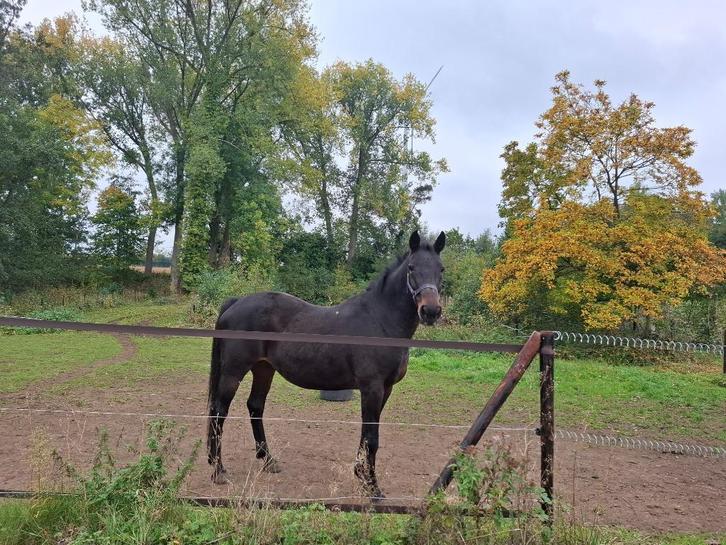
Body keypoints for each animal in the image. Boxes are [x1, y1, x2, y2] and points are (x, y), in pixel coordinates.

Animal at [206, 230, 446, 498]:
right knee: (219, 411)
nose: (431, 311)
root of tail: (235, 302)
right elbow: (372, 437)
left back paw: (268, 461)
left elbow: (366, 435)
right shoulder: (372, 387)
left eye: (441, 269)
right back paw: (218, 471)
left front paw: (360, 474)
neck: (380, 321)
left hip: (264, 369)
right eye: (412, 268)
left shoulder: (386, 389)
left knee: (255, 407)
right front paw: (373, 488)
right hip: (233, 372)